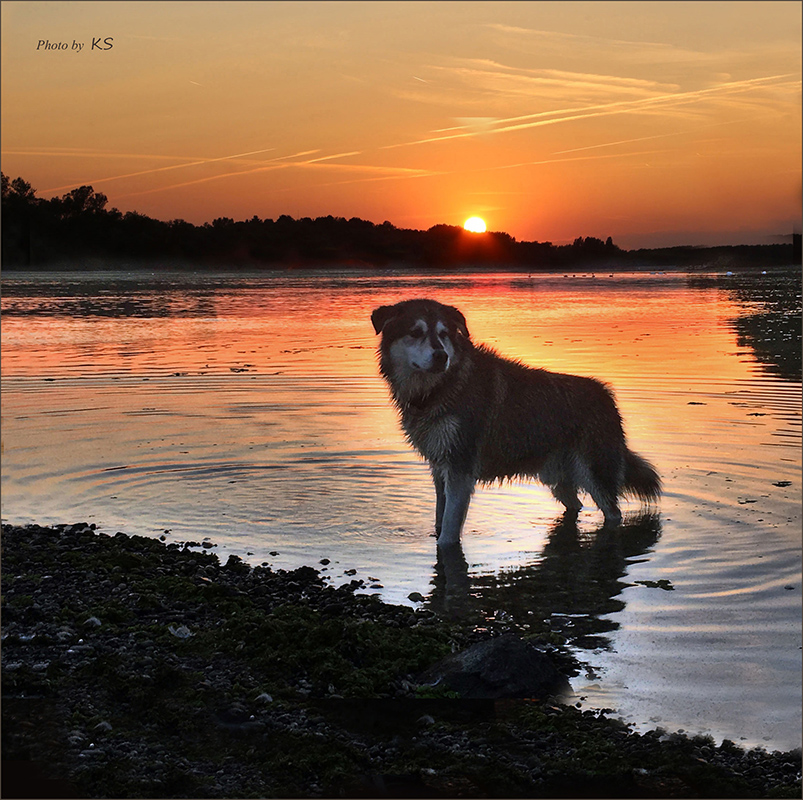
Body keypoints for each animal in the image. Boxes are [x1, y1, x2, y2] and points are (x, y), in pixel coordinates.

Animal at [370, 300, 660, 552]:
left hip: (596, 474)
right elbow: (440, 518)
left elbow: (448, 533)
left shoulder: (460, 470)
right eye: (415, 332)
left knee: (614, 513)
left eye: (443, 334)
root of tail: (607, 395)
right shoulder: (440, 467)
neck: (440, 389)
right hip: (557, 478)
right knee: (575, 504)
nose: (441, 356)